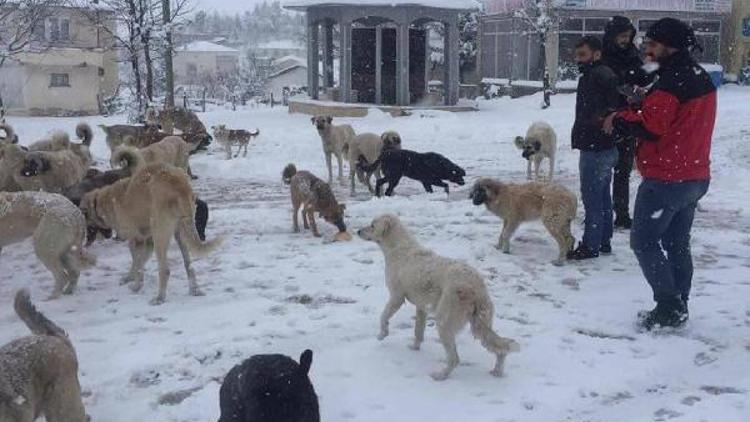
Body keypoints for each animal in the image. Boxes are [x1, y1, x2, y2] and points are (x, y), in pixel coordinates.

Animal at [82, 162, 223, 304]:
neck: (105, 201)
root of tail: (178, 186)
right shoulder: (148, 240)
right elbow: (139, 262)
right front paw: (131, 277)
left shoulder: (136, 239)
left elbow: (137, 263)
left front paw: (135, 285)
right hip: (181, 233)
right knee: (189, 265)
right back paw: (194, 290)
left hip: (160, 234)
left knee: (165, 270)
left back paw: (159, 298)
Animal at [358, 216, 524, 380]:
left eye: (372, 225)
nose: (358, 231)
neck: (399, 248)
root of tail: (477, 287)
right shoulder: (421, 307)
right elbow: (418, 331)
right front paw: (415, 348)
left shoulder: (396, 297)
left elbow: (383, 316)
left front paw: (382, 334)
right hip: (479, 322)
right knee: (499, 348)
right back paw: (497, 372)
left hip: (444, 322)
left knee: (454, 358)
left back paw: (441, 375)